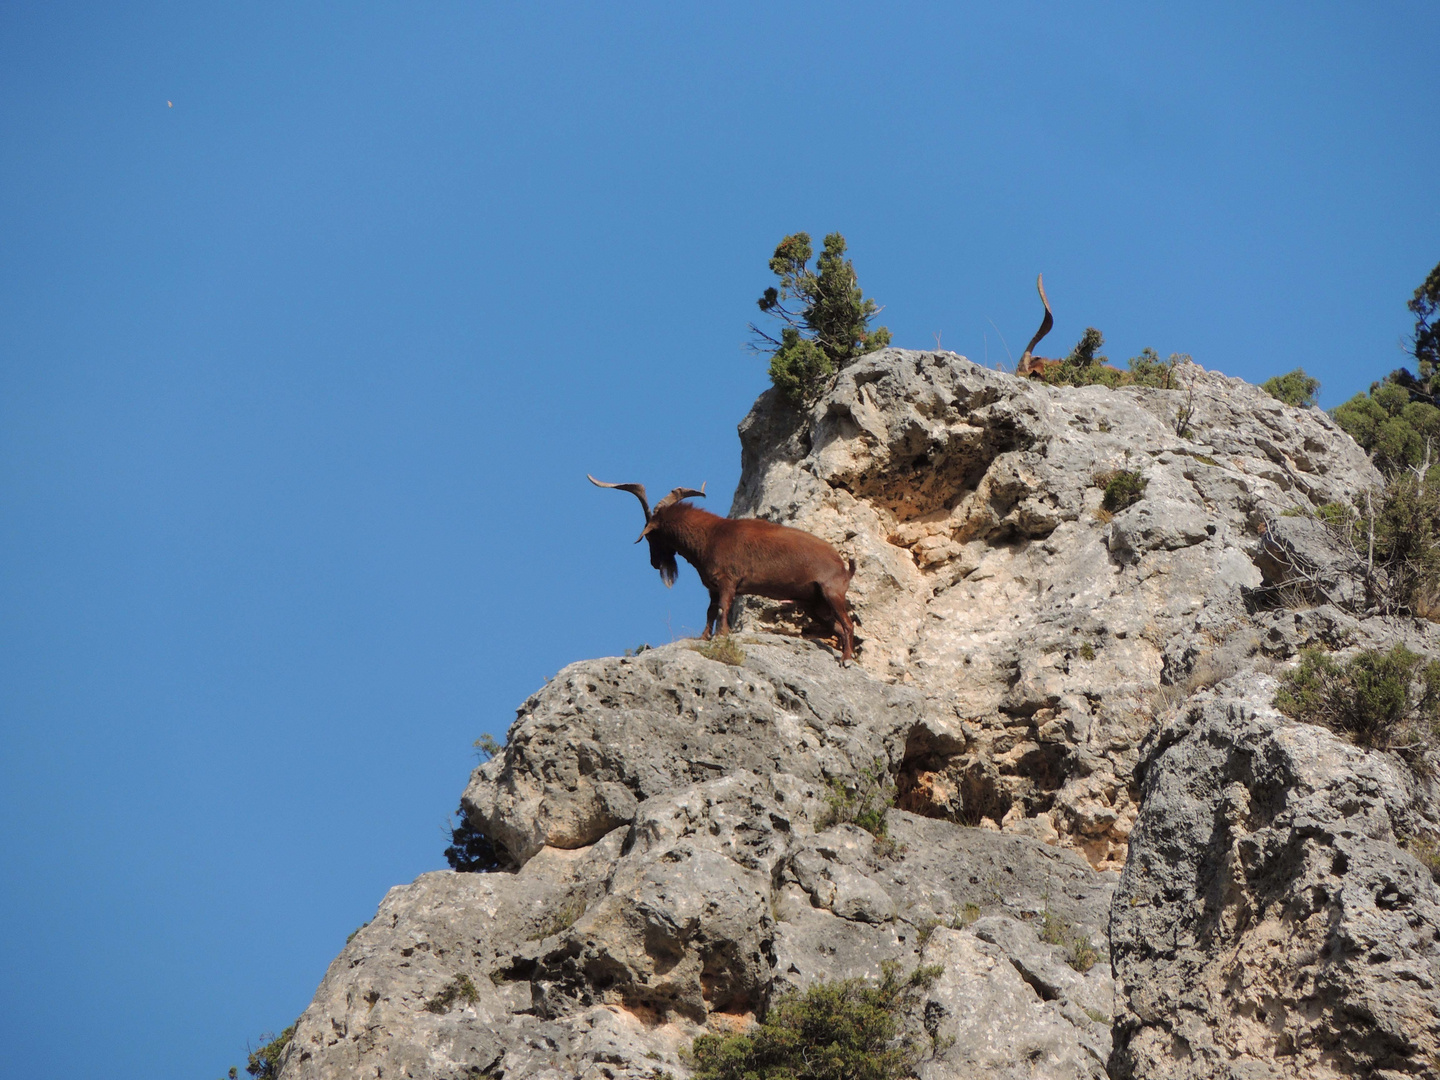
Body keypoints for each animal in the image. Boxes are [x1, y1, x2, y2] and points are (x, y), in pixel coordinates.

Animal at [587, 478, 852, 665]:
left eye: (652, 535)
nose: (654, 563)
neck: (711, 536)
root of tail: (842, 565)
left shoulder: (728, 581)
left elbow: (724, 607)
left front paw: (722, 636)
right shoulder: (712, 587)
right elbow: (711, 611)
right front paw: (704, 637)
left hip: (832, 593)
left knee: (848, 625)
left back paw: (847, 660)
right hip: (815, 605)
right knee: (838, 628)